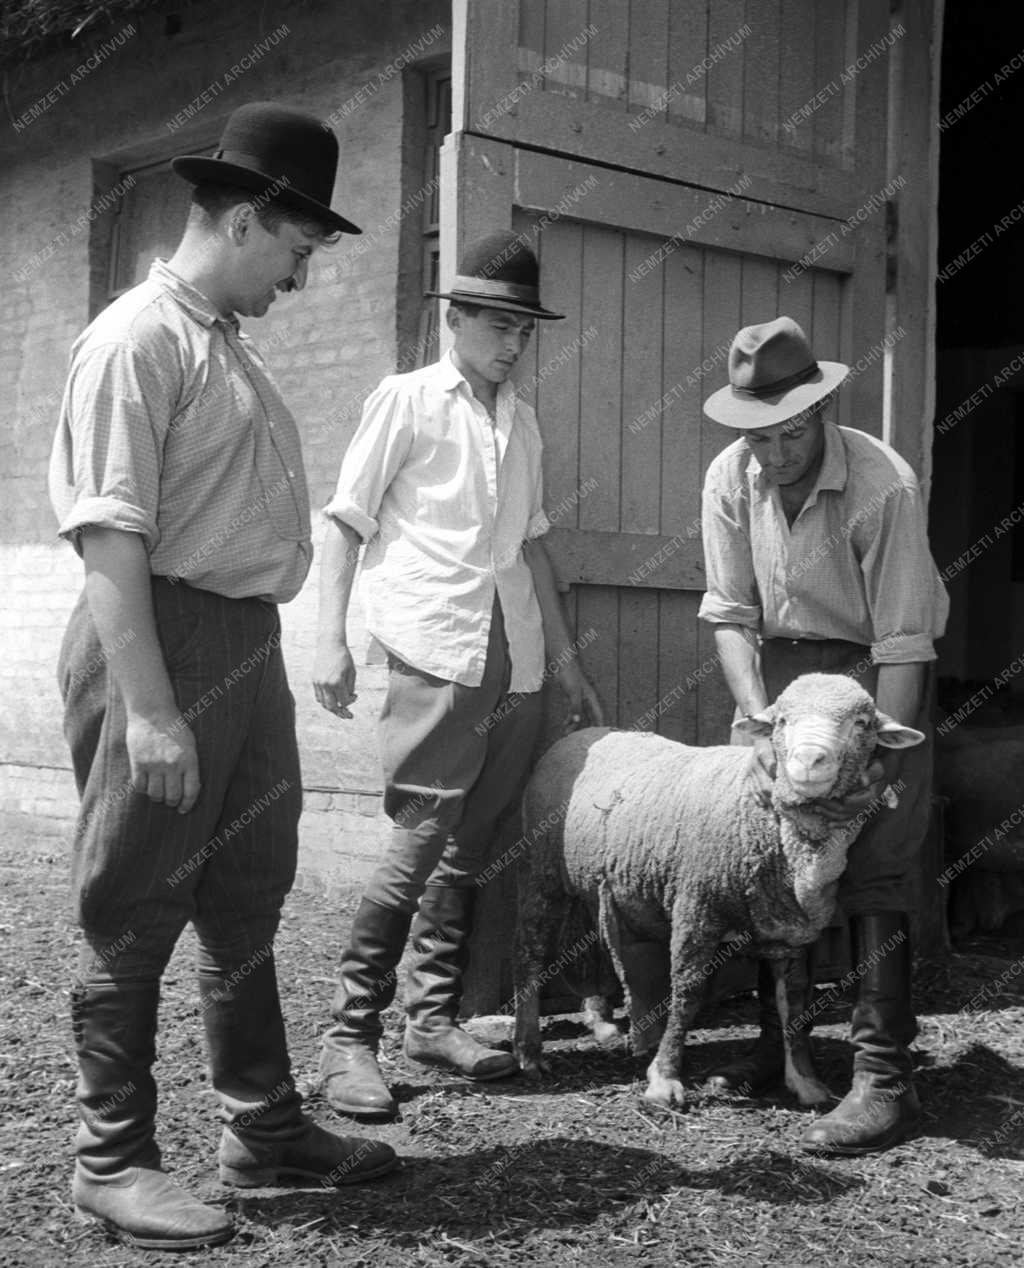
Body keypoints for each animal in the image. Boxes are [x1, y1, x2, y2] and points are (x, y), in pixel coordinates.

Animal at [512, 674, 927, 1110]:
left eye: (861, 724)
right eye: (782, 721)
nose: (810, 759)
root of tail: (580, 735)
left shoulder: (790, 933)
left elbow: (793, 1002)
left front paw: (804, 1080)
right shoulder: (695, 908)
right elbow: (687, 992)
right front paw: (664, 1078)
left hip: (594, 881)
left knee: (595, 939)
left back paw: (601, 1021)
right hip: (540, 872)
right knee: (529, 951)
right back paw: (529, 1050)